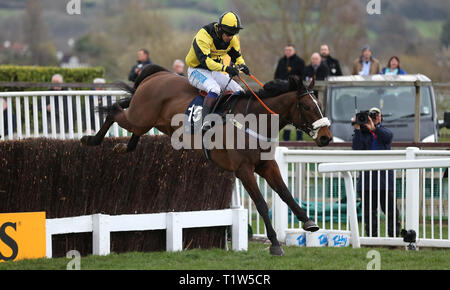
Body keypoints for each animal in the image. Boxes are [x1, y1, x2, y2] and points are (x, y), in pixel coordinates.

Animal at [82, 64, 332, 255]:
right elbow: (261, 203)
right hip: (138, 117)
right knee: (114, 110)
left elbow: (285, 193)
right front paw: (274, 244)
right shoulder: (243, 169)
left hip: (147, 123)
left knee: (131, 131)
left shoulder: (266, 165)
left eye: (320, 105)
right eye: (307, 106)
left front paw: (308, 222)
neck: (254, 121)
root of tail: (156, 75)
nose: (326, 137)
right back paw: (90, 139)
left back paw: (121, 146)